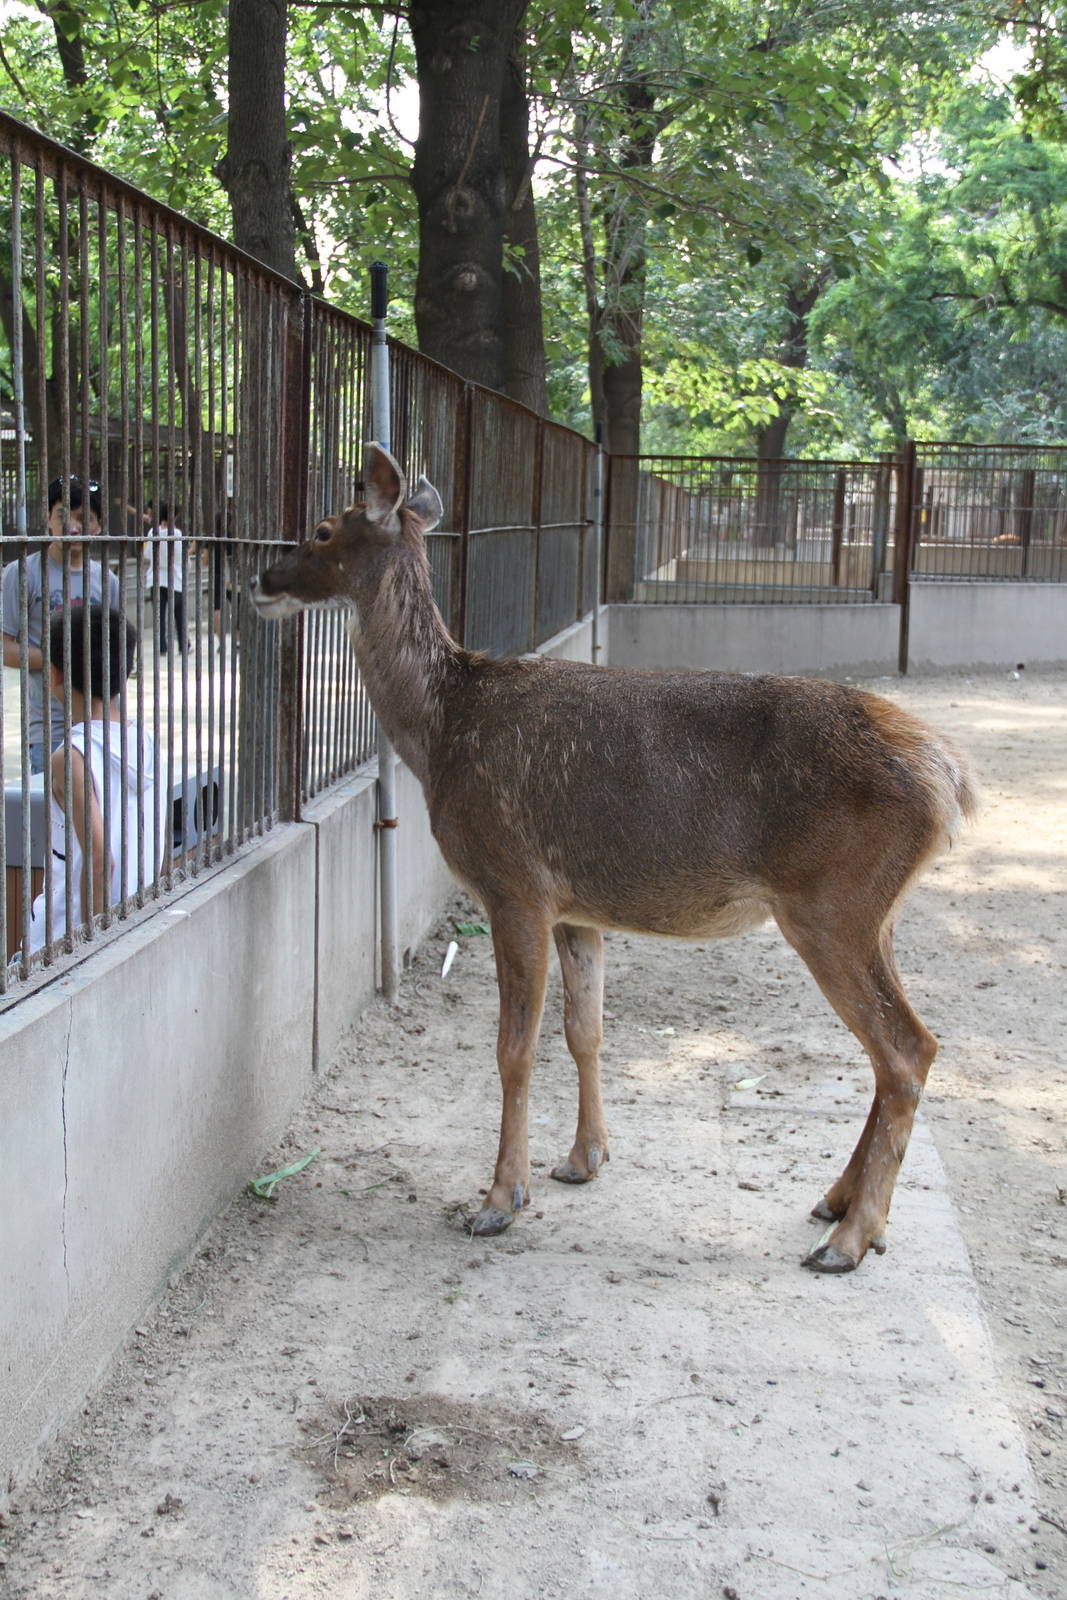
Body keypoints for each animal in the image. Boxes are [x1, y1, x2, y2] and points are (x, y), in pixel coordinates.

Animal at [251, 443, 977, 1273]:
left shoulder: (513, 884)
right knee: (903, 1047)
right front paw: (583, 1159)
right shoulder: (576, 908)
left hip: (833, 903)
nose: (258, 580)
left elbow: (512, 1049)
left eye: (322, 527)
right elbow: (584, 1030)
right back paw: (838, 1204)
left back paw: (848, 1240)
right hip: (873, 912)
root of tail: (950, 780)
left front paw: (498, 1199)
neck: (440, 734)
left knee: (905, 1050)